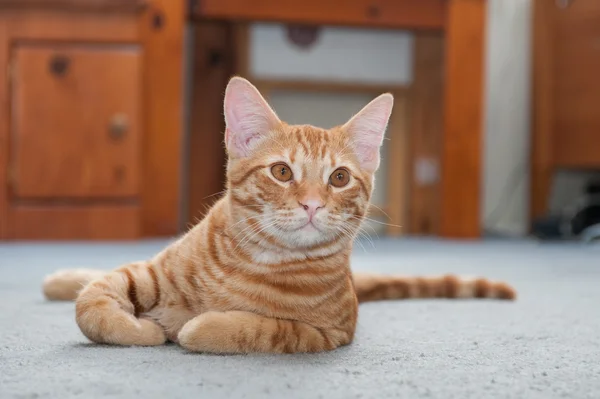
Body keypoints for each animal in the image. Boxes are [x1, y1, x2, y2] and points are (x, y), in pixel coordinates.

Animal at [43, 76, 516, 354]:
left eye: (339, 178)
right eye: (282, 172)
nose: (312, 204)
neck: (258, 257)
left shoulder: (327, 334)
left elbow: (258, 328)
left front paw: (197, 325)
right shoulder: (148, 273)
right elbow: (94, 302)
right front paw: (138, 328)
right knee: (98, 275)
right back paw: (63, 278)